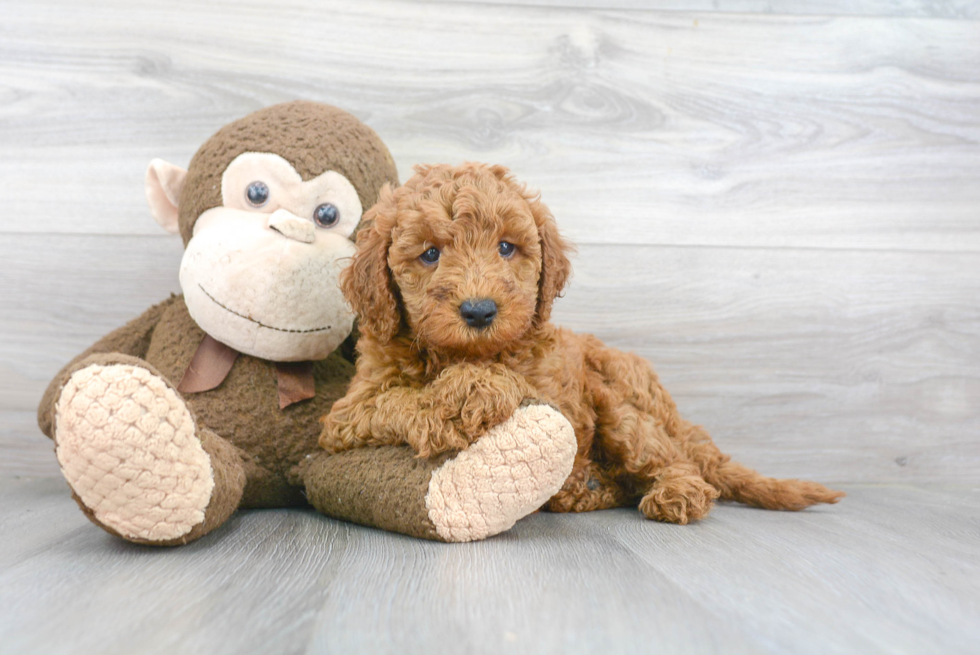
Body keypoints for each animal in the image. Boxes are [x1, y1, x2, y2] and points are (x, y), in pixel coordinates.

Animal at [322, 165, 844, 528]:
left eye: (506, 248)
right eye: (430, 254)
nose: (479, 311)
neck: (459, 353)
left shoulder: (558, 394)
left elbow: (524, 391)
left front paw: (474, 387)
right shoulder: (345, 415)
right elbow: (392, 400)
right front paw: (455, 399)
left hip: (621, 406)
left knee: (674, 461)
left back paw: (673, 492)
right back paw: (589, 487)